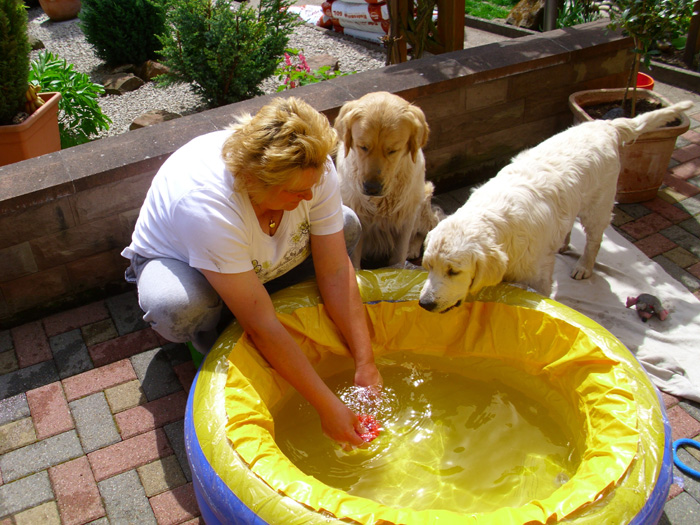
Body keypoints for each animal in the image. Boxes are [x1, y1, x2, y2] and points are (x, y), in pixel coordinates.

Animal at [334, 90, 442, 268]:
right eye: (363, 146)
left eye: (393, 150)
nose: (371, 188)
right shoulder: (358, 214)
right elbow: (355, 258)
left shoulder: (406, 218)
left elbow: (399, 253)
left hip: (422, 199)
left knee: (426, 229)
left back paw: (413, 249)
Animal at [418, 101, 692, 312]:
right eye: (428, 266)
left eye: (454, 271)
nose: (425, 304)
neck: (498, 226)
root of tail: (604, 125)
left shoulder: (538, 277)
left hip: (598, 204)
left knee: (595, 239)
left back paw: (584, 267)